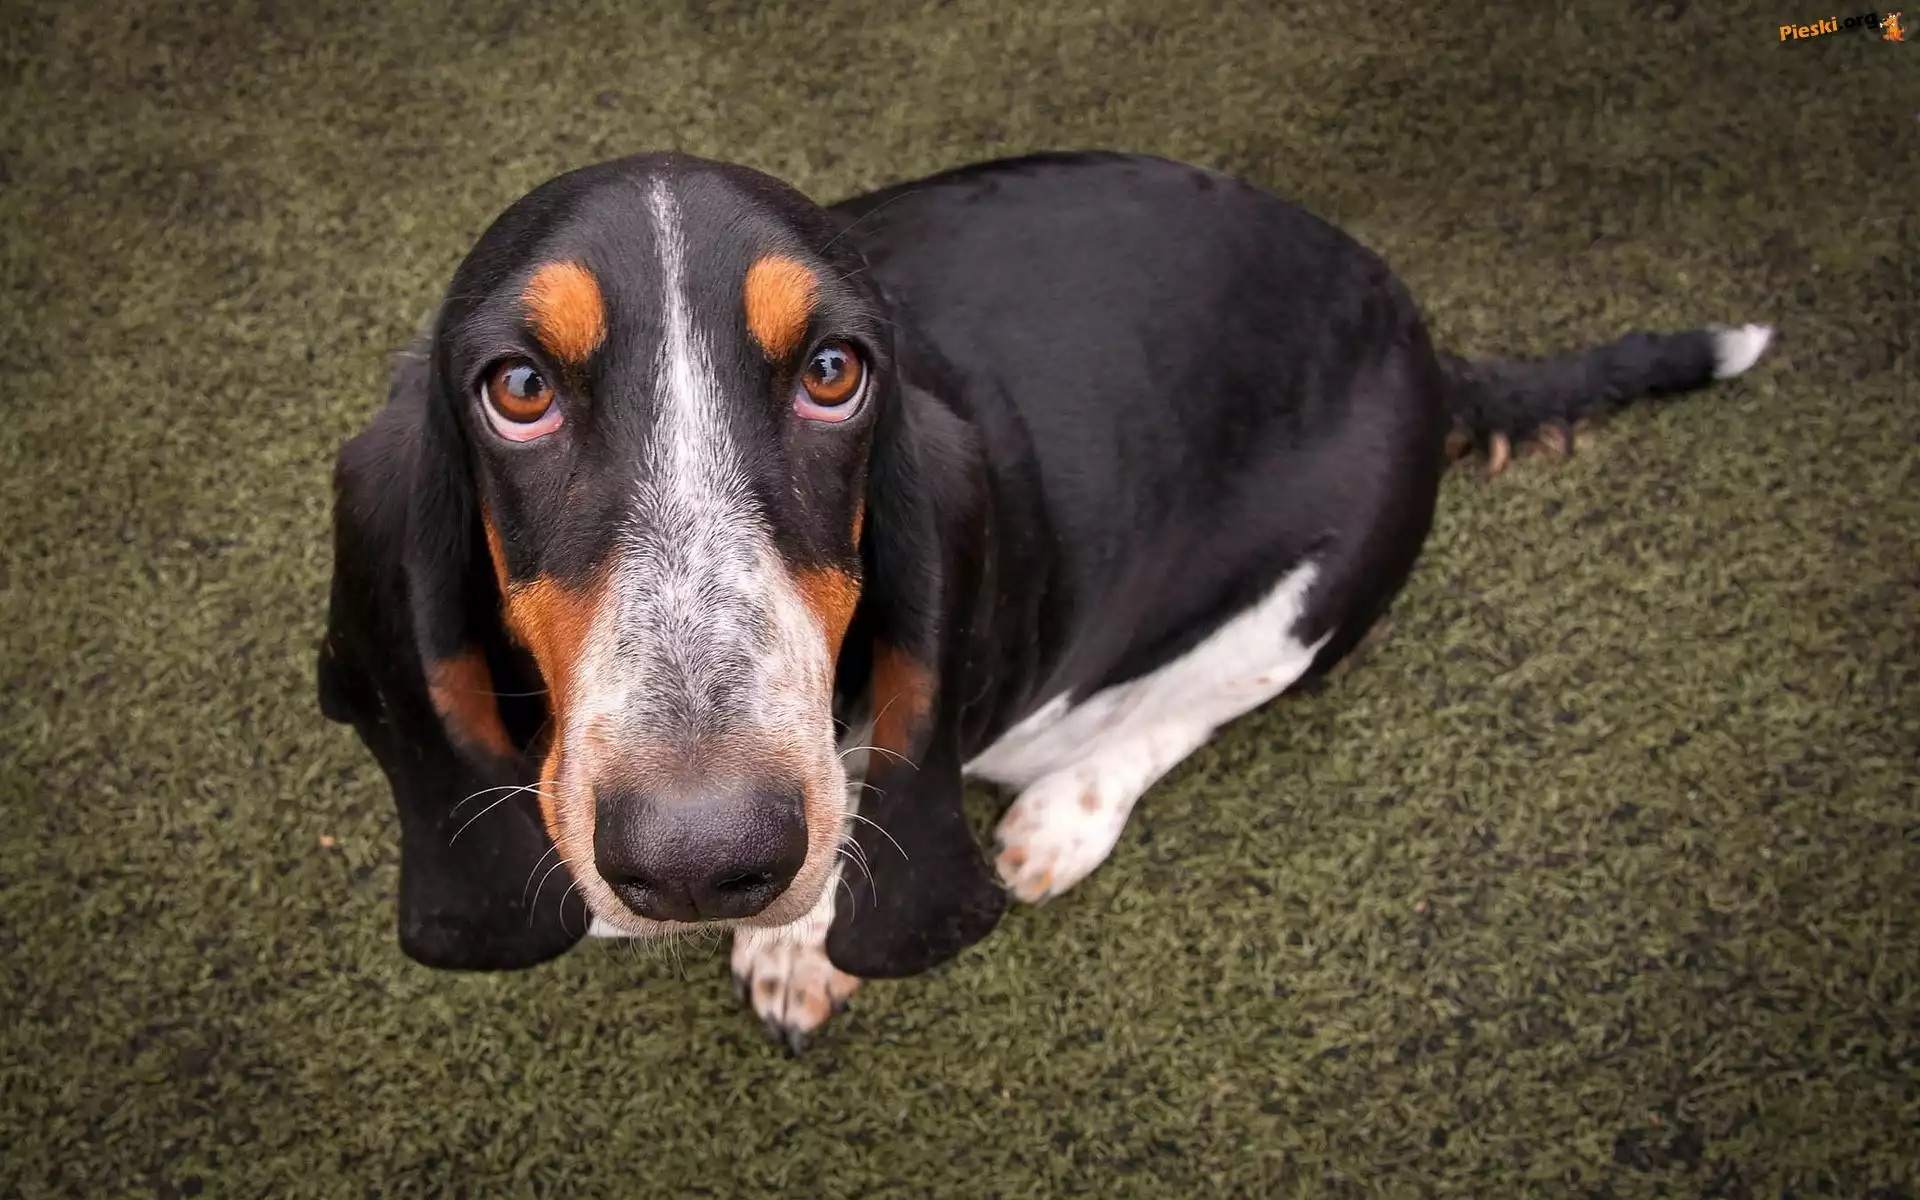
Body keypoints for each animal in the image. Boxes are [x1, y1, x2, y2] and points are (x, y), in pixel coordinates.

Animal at [318, 150, 1772, 1049]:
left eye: (836, 372)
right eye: (517, 389)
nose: (700, 860)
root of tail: (1425, 343)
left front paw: (806, 952)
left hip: (1311, 594)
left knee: (1190, 707)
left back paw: (1057, 823)